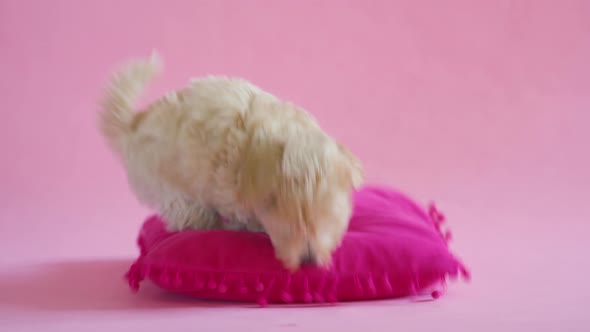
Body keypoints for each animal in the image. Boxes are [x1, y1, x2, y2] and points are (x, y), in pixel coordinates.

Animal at [99, 52, 364, 270]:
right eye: (286, 221)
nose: (308, 259)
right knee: (190, 216)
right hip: (173, 188)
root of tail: (134, 125)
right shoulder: (227, 188)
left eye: (328, 217)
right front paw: (252, 227)